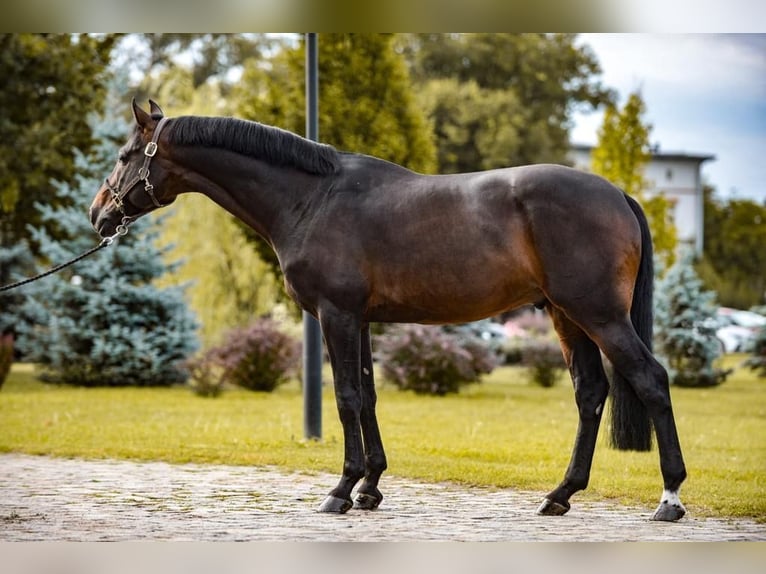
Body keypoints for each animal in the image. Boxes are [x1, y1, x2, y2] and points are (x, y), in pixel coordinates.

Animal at [89, 100, 687, 521]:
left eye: (123, 157)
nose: (98, 214)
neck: (312, 198)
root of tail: (617, 193)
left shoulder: (336, 315)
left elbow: (347, 398)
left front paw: (341, 489)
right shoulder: (362, 320)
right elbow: (369, 396)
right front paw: (371, 487)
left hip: (599, 314)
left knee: (651, 380)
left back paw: (670, 497)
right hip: (566, 315)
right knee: (590, 394)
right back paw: (560, 494)